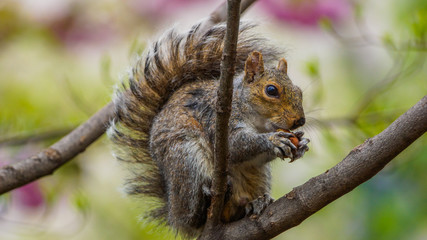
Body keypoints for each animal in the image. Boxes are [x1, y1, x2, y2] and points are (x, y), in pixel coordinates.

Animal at [108, 21, 310, 238]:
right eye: (271, 90)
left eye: (299, 91)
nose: (300, 120)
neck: (258, 122)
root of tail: (174, 214)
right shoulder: (216, 119)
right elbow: (235, 147)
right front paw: (273, 140)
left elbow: (255, 156)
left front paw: (301, 143)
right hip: (186, 160)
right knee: (194, 215)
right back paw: (203, 205)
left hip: (258, 176)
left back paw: (255, 203)